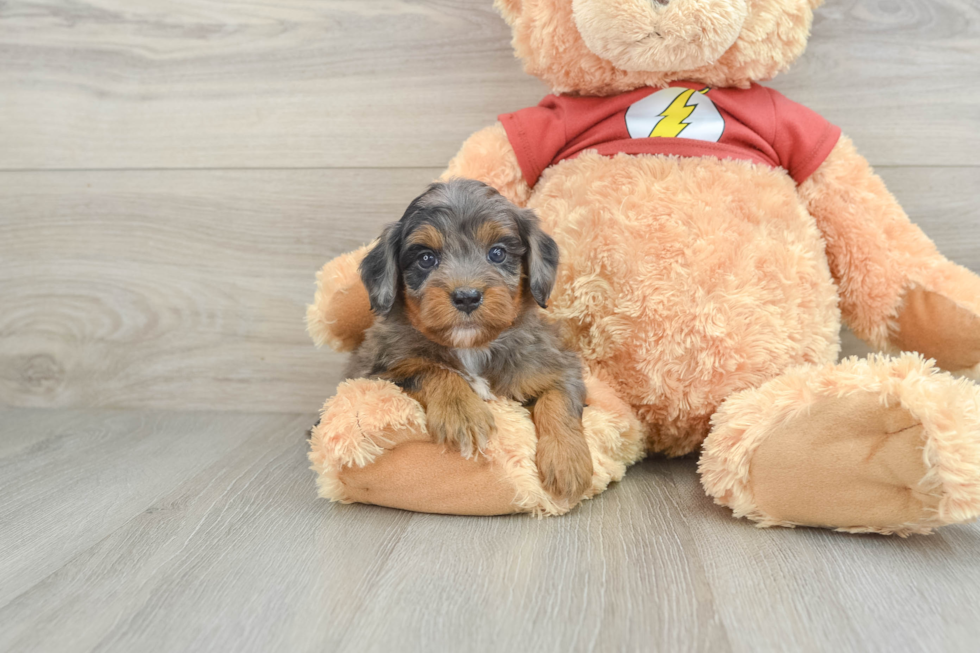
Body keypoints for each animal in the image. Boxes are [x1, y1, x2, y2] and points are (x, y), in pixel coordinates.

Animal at [348, 176, 592, 502]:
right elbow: (431, 370)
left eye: (497, 253)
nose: (466, 297)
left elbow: (559, 399)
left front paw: (568, 460)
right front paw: (462, 412)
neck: (472, 348)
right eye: (426, 258)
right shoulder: (379, 371)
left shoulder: (557, 364)